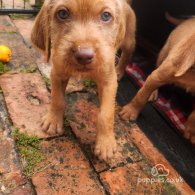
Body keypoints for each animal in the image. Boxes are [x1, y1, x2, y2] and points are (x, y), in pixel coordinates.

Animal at [31, 0, 136, 161]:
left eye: (106, 15)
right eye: (63, 13)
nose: (84, 56)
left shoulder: (109, 81)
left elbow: (106, 114)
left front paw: (105, 143)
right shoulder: (57, 74)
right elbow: (57, 100)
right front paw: (53, 120)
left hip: (128, 40)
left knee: (127, 53)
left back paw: (120, 70)